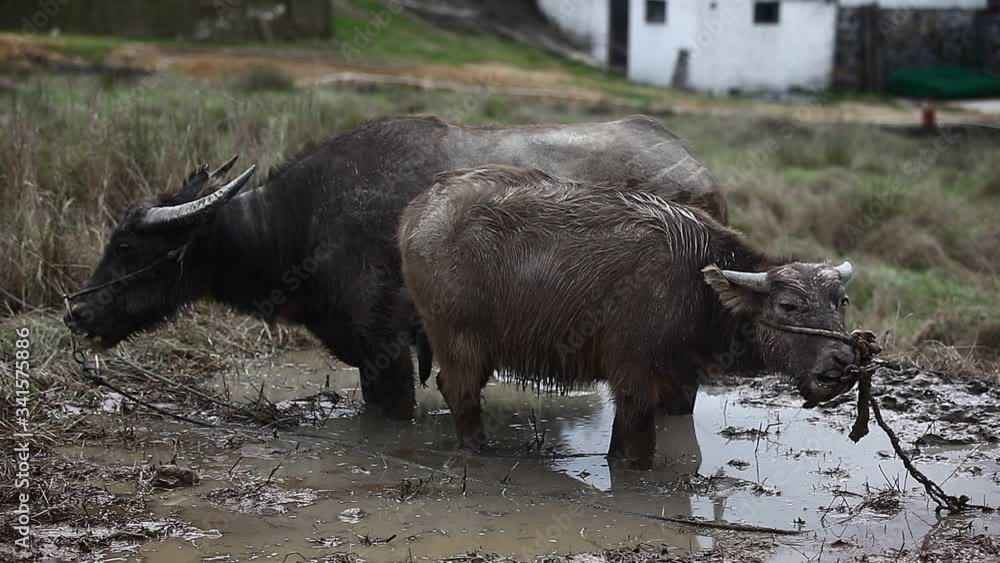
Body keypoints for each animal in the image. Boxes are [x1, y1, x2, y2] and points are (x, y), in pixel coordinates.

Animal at [398, 165, 860, 470]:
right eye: (789, 306)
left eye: (841, 302)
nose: (843, 361)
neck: (694, 282)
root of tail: (417, 211)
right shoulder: (635, 381)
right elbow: (637, 451)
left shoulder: (669, 382)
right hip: (459, 339)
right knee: (459, 390)